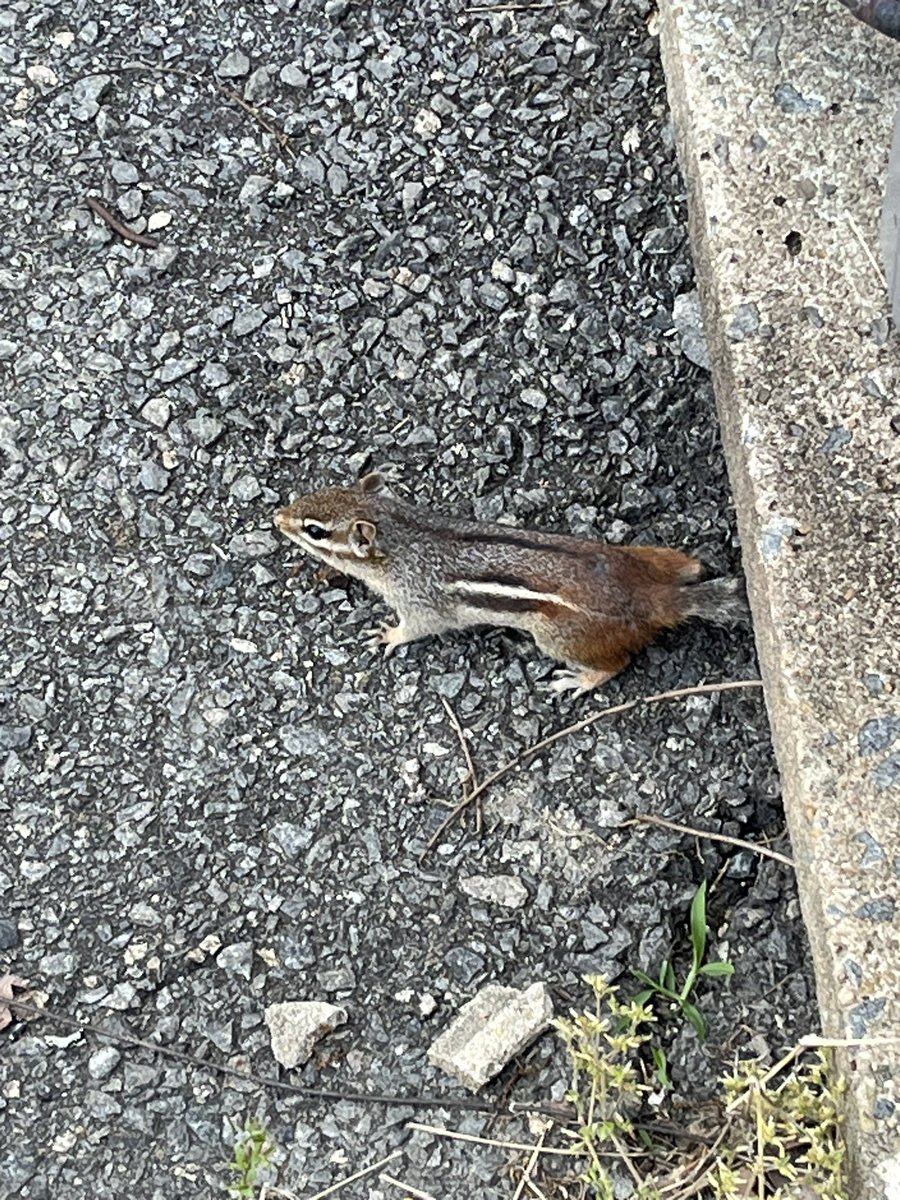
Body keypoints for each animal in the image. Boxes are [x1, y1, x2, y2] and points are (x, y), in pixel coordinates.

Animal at [274, 473, 748, 694]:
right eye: (319, 490)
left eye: (315, 530)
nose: (277, 518)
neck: (404, 535)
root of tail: (655, 598)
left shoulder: (420, 601)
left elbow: (417, 628)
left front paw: (389, 635)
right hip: (645, 557)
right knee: (677, 563)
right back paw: (691, 565)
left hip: (558, 637)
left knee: (616, 664)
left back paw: (580, 681)